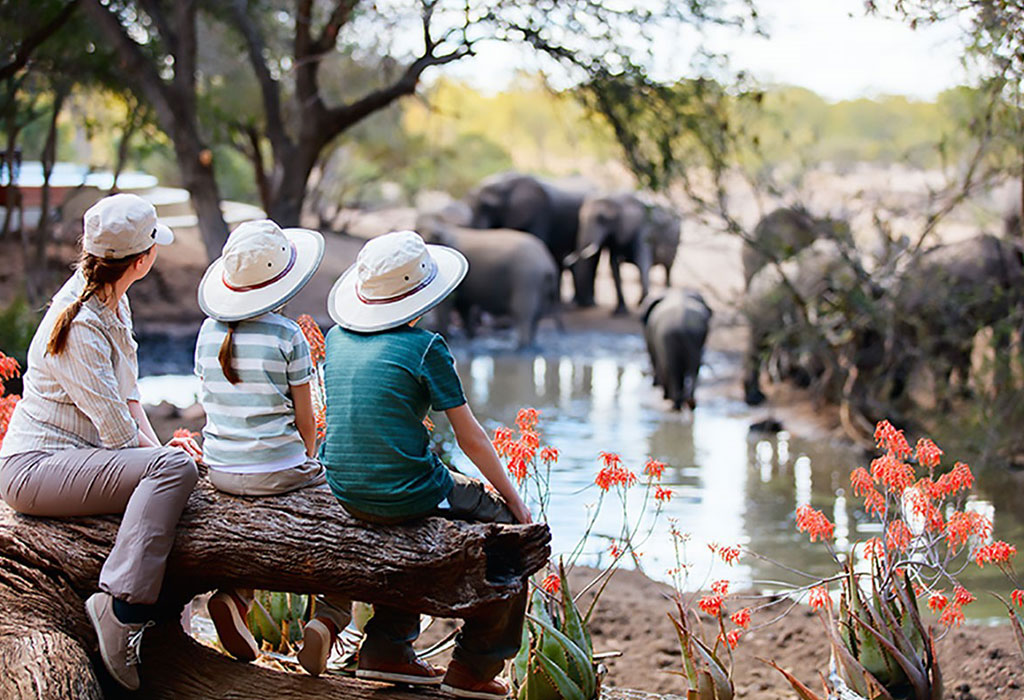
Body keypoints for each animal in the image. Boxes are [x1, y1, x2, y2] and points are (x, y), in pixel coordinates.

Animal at [416, 213, 561, 349]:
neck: (445, 226)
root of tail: (548, 264)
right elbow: (463, 306)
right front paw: (471, 338)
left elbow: (448, 305)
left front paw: (447, 337)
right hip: (540, 285)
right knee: (537, 315)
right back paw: (530, 345)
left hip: (527, 279)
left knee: (523, 313)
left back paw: (521, 347)